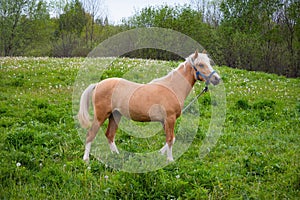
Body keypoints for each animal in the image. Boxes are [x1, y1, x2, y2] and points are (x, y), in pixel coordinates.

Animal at [78, 50, 221, 162]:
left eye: (209, 63)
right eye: (200, 64)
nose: (217, 79)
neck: (172, 87)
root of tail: (98, 84)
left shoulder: (165, 121)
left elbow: (171, 139)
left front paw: (161, 153)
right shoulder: (170, 119)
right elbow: (170, 139)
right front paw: (170, 160)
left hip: (115, 115)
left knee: (110, 135)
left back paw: (117, 156)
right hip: (101, 116)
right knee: (90, 134)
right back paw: (86, 159)